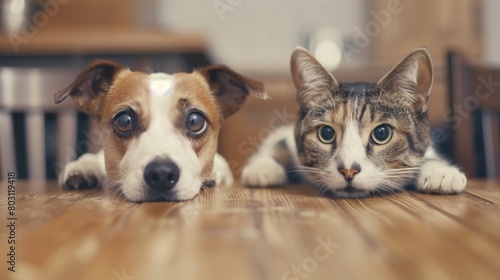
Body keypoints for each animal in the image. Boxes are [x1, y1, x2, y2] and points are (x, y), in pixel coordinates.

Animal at [243, 47, 468, 198]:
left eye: (381, 133)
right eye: (326, 133)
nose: (348, 171)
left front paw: (440, 171)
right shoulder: (286, 135)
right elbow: (277, 142)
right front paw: (262, 167)